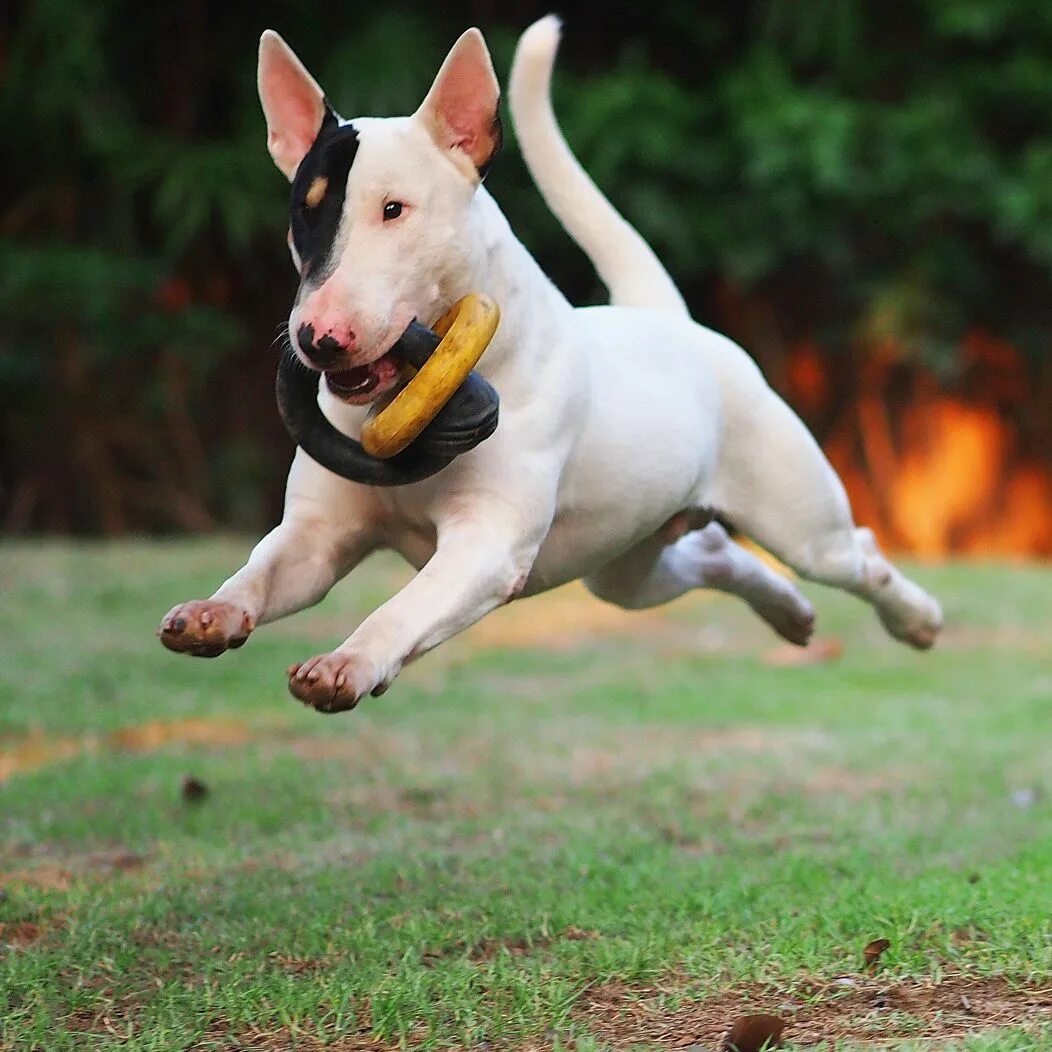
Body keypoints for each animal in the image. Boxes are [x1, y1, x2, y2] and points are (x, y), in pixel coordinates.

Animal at [157, 16, 946, 711]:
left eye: (394, 209)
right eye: (305, 211)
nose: (319, 337)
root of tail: (668, 319)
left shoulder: (489, 542)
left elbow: (407, 606)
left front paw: (348, 663)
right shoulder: (319, 535)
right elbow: (266, 569)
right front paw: (211, 614)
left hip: (800, 517)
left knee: (855, 554)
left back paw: (916, 619)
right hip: (625, 564)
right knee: (714, 557)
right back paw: (790, 615)